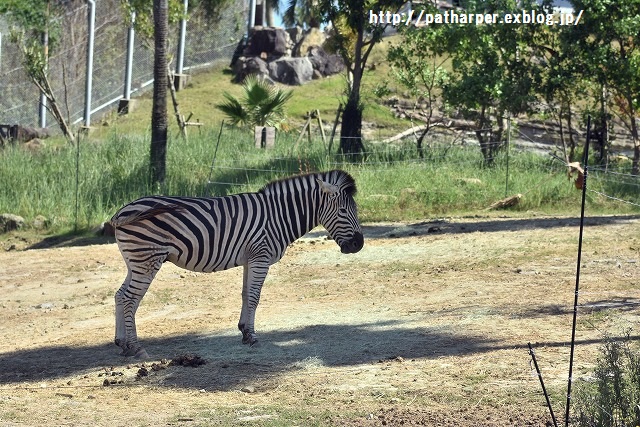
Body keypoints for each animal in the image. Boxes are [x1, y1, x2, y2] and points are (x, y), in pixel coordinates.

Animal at [107, 169, 362, 360]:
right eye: (342, 210)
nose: (358, 244)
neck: (278, 216)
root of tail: (121, 211)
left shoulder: (251, 258)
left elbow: (245, 294)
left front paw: (244, 332)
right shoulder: (260, 257)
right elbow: (254, 297)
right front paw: (252, 337)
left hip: (135, 262)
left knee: (120, 295)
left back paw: (122, 343)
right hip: (147, 259)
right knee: (130, 299)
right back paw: (136, 347)